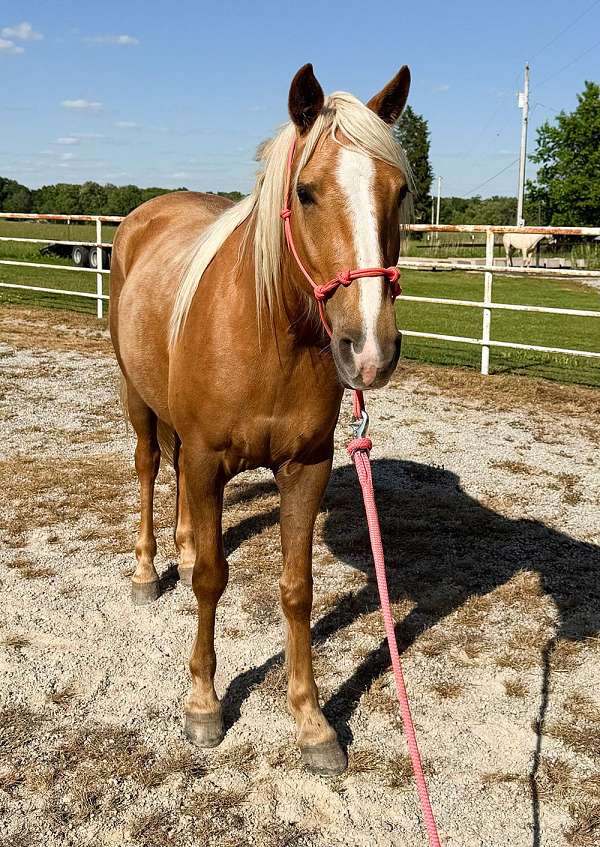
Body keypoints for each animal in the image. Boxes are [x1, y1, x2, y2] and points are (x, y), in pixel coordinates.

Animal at [109, 63, 413, 776]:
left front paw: (312, 722)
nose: (370, 349)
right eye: (305, 192)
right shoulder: (207, 458)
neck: (267, 336)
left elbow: (297, 590)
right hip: (139, 401)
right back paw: (146, 571)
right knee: (148, 467)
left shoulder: (305, 467)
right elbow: (211, 580)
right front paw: (204, 703)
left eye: (399, 191)